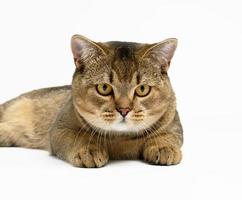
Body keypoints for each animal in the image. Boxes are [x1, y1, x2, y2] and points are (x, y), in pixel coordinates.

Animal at [0, 34, 183, 167]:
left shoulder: (174, 125)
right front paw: (89, 150)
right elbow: (78, 137)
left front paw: (164, 147)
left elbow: (168, 136)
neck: (120, 140)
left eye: (142, 89)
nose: (124, 110)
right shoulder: (59, 129)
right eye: (104, 88)